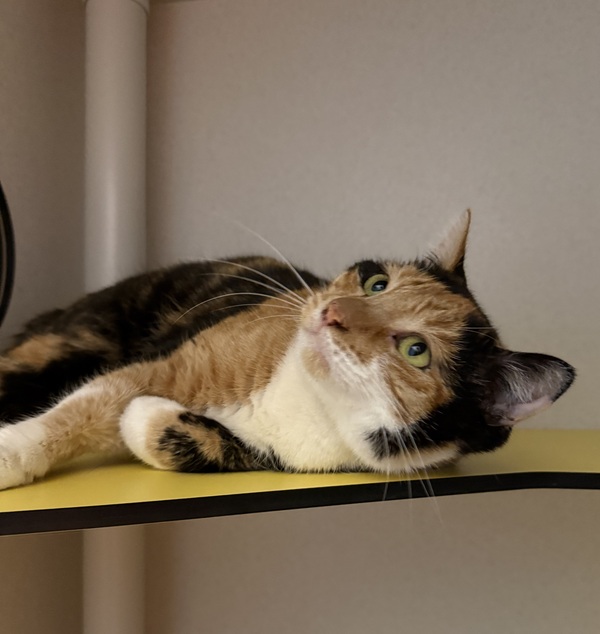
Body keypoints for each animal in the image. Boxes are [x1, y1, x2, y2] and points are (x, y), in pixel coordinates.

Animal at [0, 211, 575, 489]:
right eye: (377, 284)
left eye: (416, 350)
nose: (332, 312)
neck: (306, 398)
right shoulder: (168, 366)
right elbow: (81, 409)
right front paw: (13, 452)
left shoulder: (278, 457)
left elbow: (176, 436)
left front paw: (144, 420)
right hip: (62, 346)